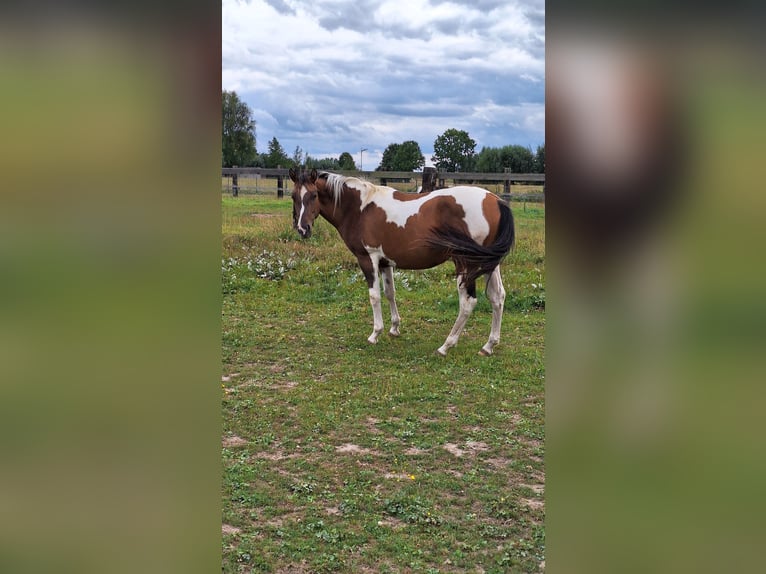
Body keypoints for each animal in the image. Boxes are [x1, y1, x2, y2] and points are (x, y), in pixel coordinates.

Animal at [288, 168, 515, 356]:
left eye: (314, 195)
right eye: (294, 196)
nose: (303, 229)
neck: (361, 208)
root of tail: (495, 200)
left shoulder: (368, 259)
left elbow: (374, 296)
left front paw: (375, 334)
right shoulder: (385, 262)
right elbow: (390, 293)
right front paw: (394, 328)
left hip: (466, 265)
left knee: (468, 303)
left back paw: (446, 346)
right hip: (489, 264)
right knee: (498, 297)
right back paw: (488, 346)